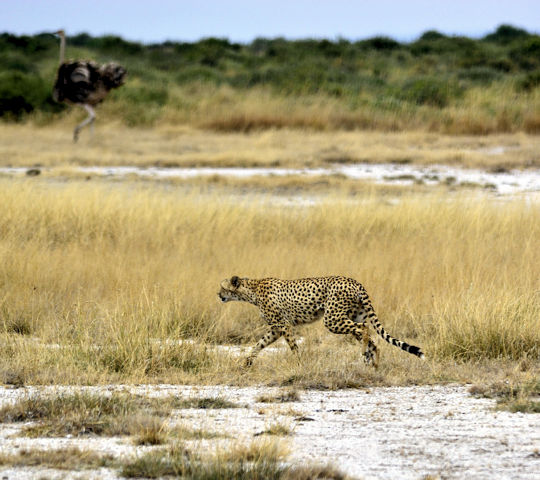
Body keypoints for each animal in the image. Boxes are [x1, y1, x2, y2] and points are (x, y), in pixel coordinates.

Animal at [217, 274, 424, 368]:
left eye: (223, 287)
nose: (218, 295)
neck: (251, 290)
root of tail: (355, 282)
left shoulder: (283, 325)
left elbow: (293, 347)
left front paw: (299, 363)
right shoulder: (275, 329)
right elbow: (258, 344)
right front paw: (246, 363)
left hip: (332, 319)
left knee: (364, 329)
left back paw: (366, 356)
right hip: (351, 316)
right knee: (371, 337)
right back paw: (373, 364)